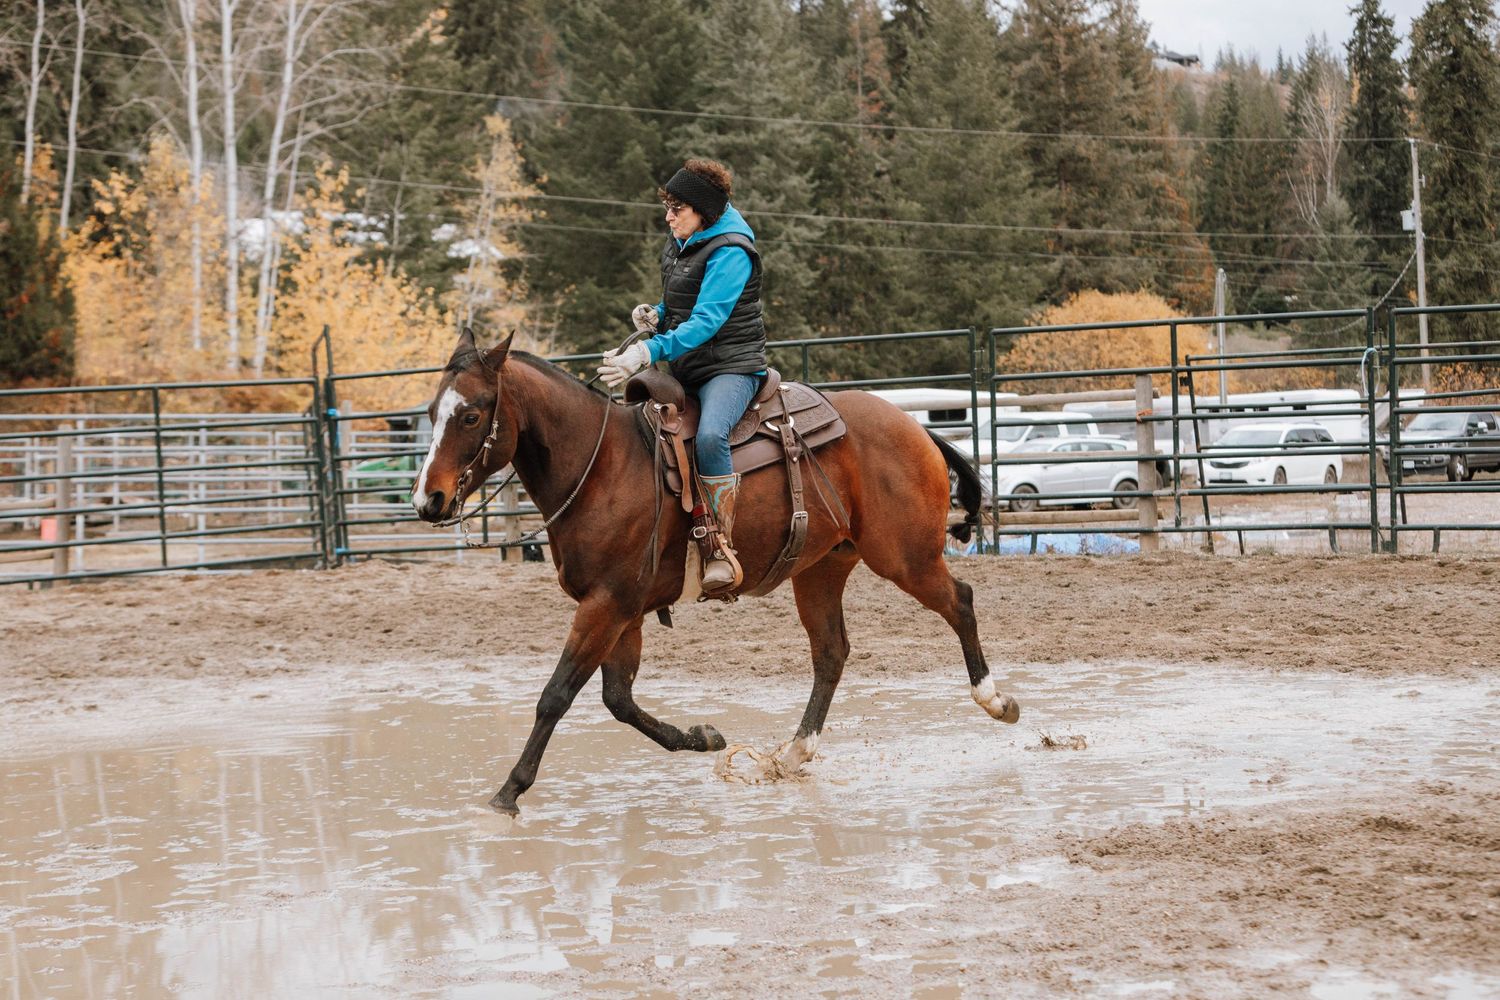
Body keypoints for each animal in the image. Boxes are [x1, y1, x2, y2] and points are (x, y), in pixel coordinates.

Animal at [411, 329, 1020, 815]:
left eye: (471, 414)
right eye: (431, 413)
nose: (427, 500)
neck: (604, 465)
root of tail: (913, 428)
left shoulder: (606, 605)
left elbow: (556, 695)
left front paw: (509, 792)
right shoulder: (624, 611)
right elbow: (618, 699)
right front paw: (702, 737)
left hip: (905, 558)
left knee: (960, 601)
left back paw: (995, 701)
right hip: (821, 569)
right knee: (831, 652)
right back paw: (792, 754)